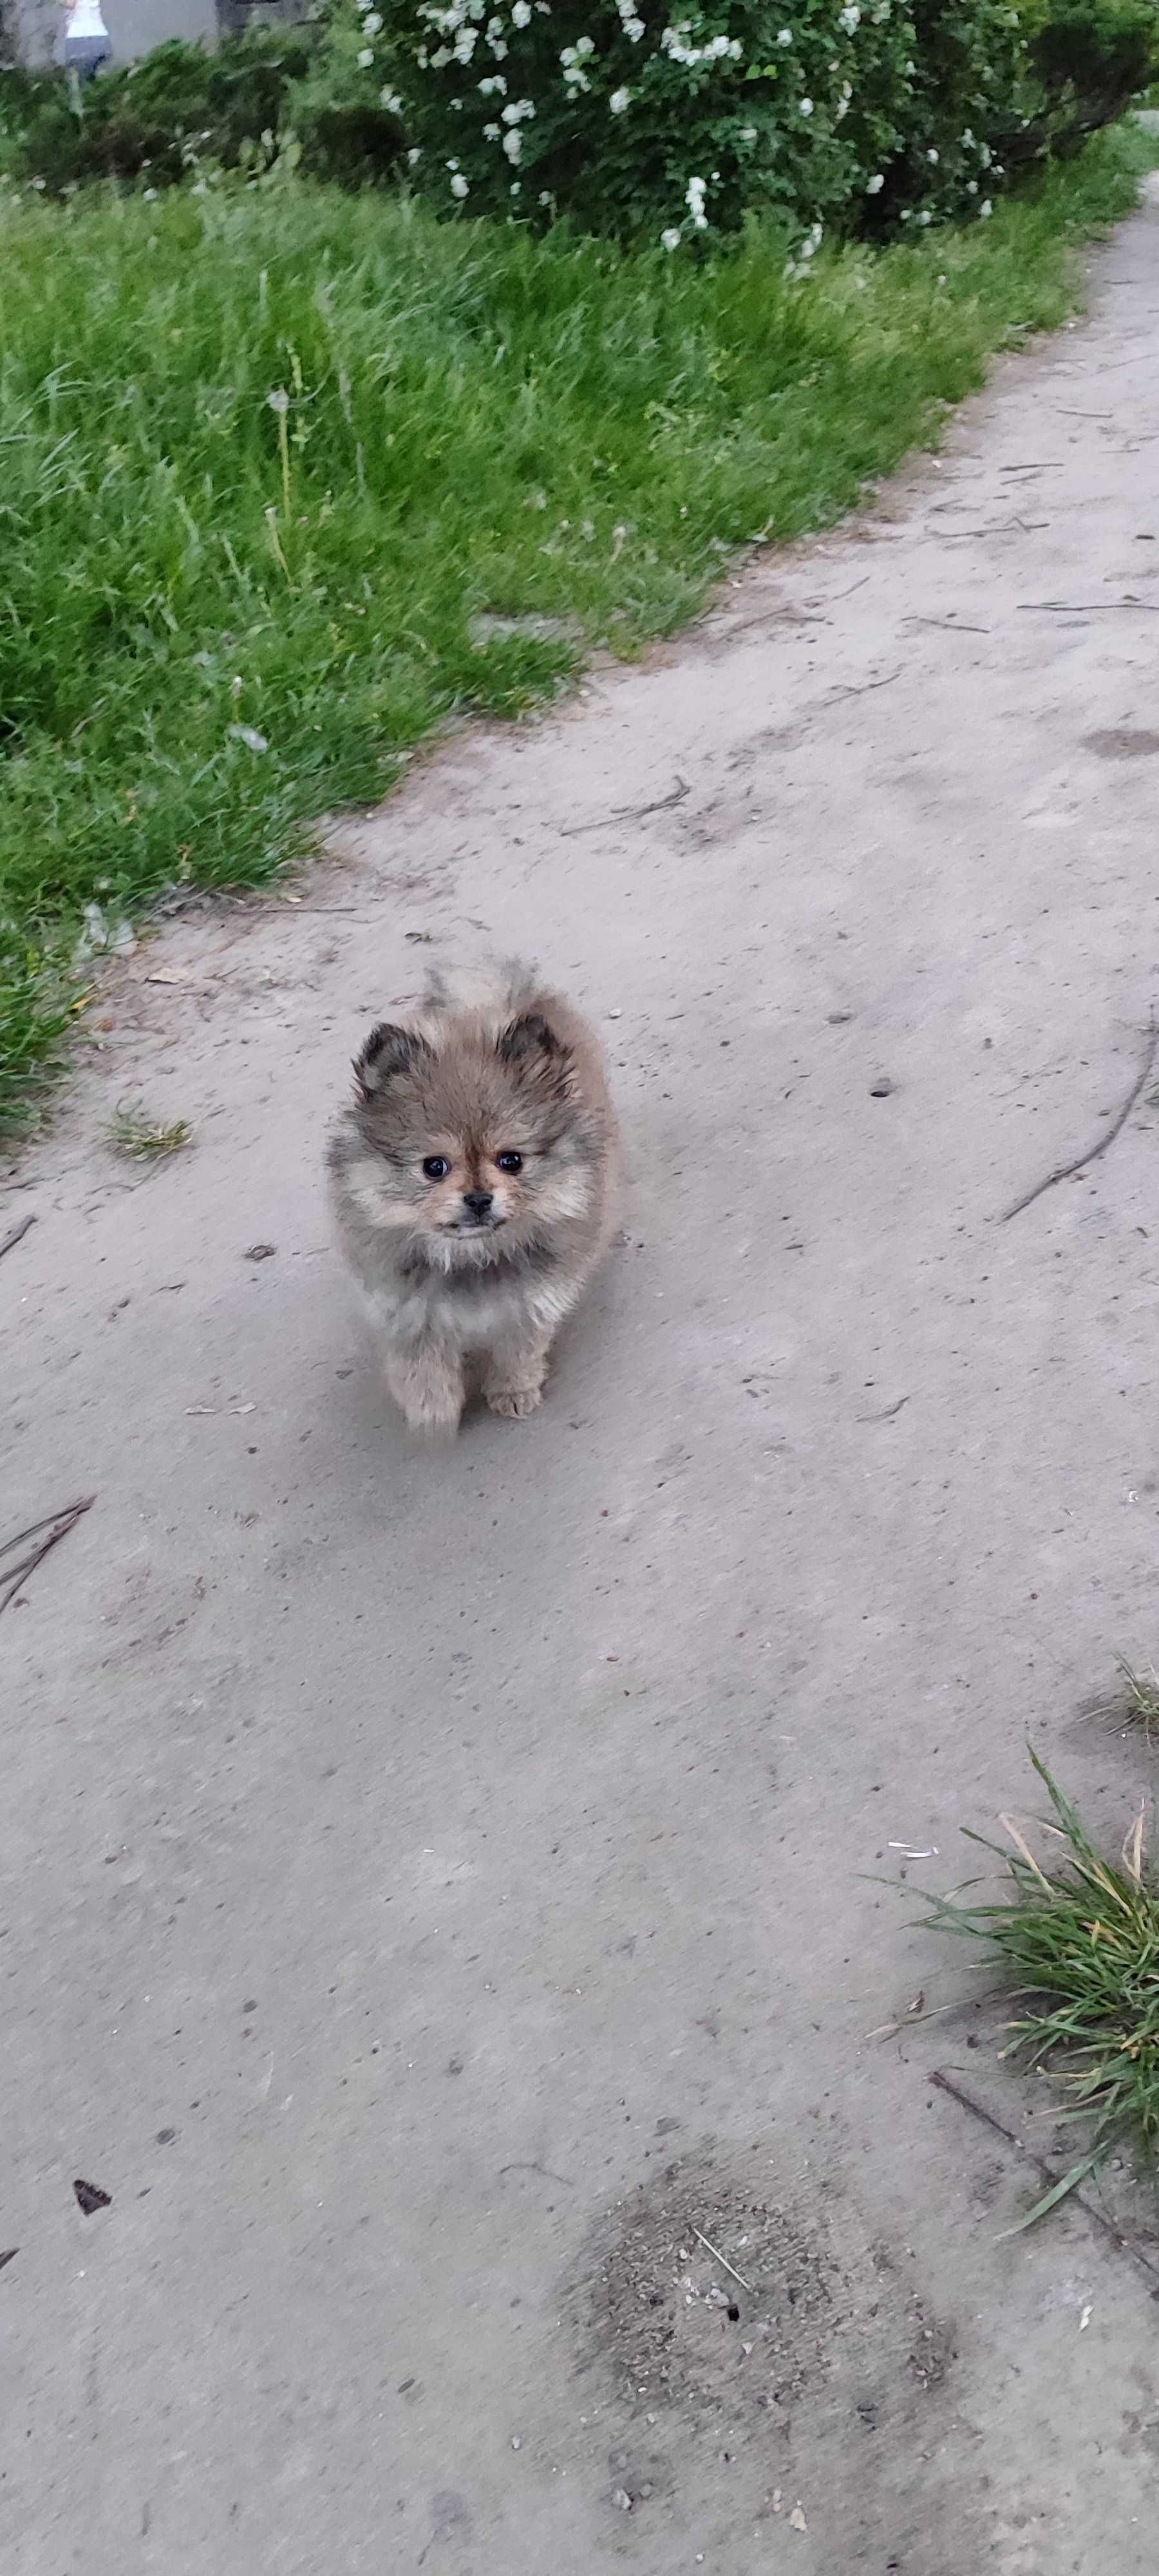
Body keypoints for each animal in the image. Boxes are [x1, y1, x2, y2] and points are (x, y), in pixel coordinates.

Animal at [322, 953, 621, 1432]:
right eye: (434, 1167)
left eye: (511, 1161)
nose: (479, 1199)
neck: (470, 1258)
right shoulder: (407, 1314)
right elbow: (420, 1370)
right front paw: (433, 1412)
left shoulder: (530, 1305)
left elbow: (518, 1353)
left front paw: (513, 1392)